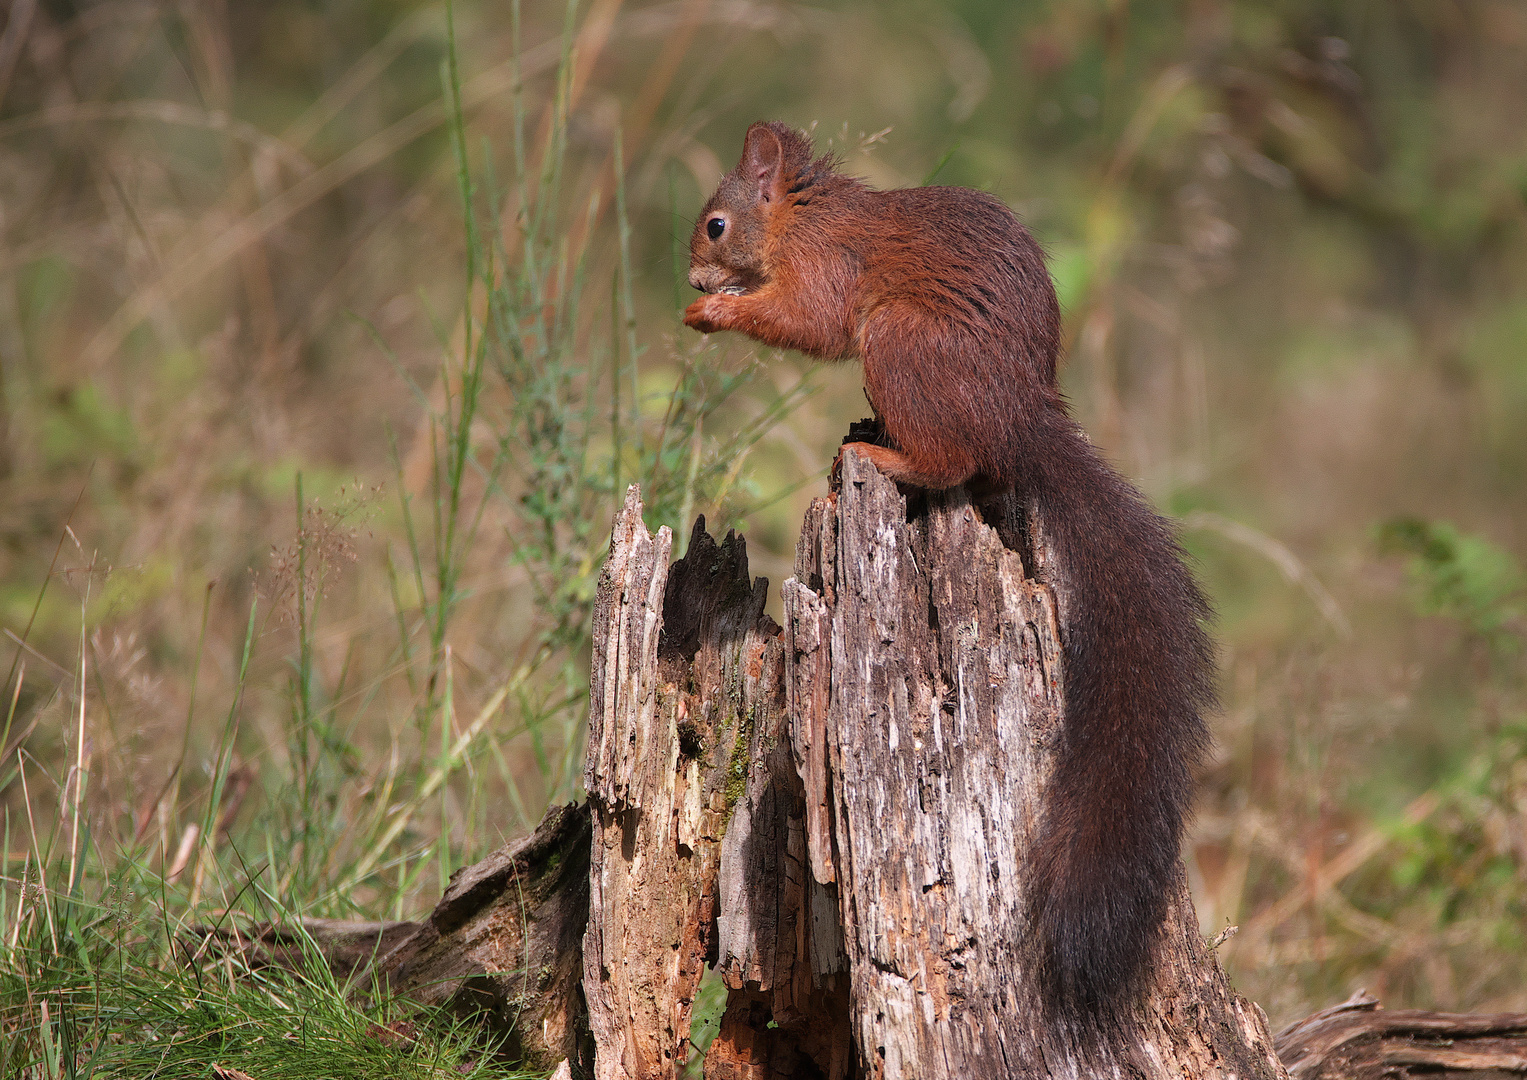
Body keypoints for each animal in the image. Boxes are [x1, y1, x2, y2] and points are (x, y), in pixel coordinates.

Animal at [687, 122, 1209, 1008]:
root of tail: (1017, 414)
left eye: (717, 225)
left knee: (948, 459)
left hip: (900, 341)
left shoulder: (829, 270)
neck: (799, 215)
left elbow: (806, 322)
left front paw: (717, 310)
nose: (691, 275)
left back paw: (881, 455)